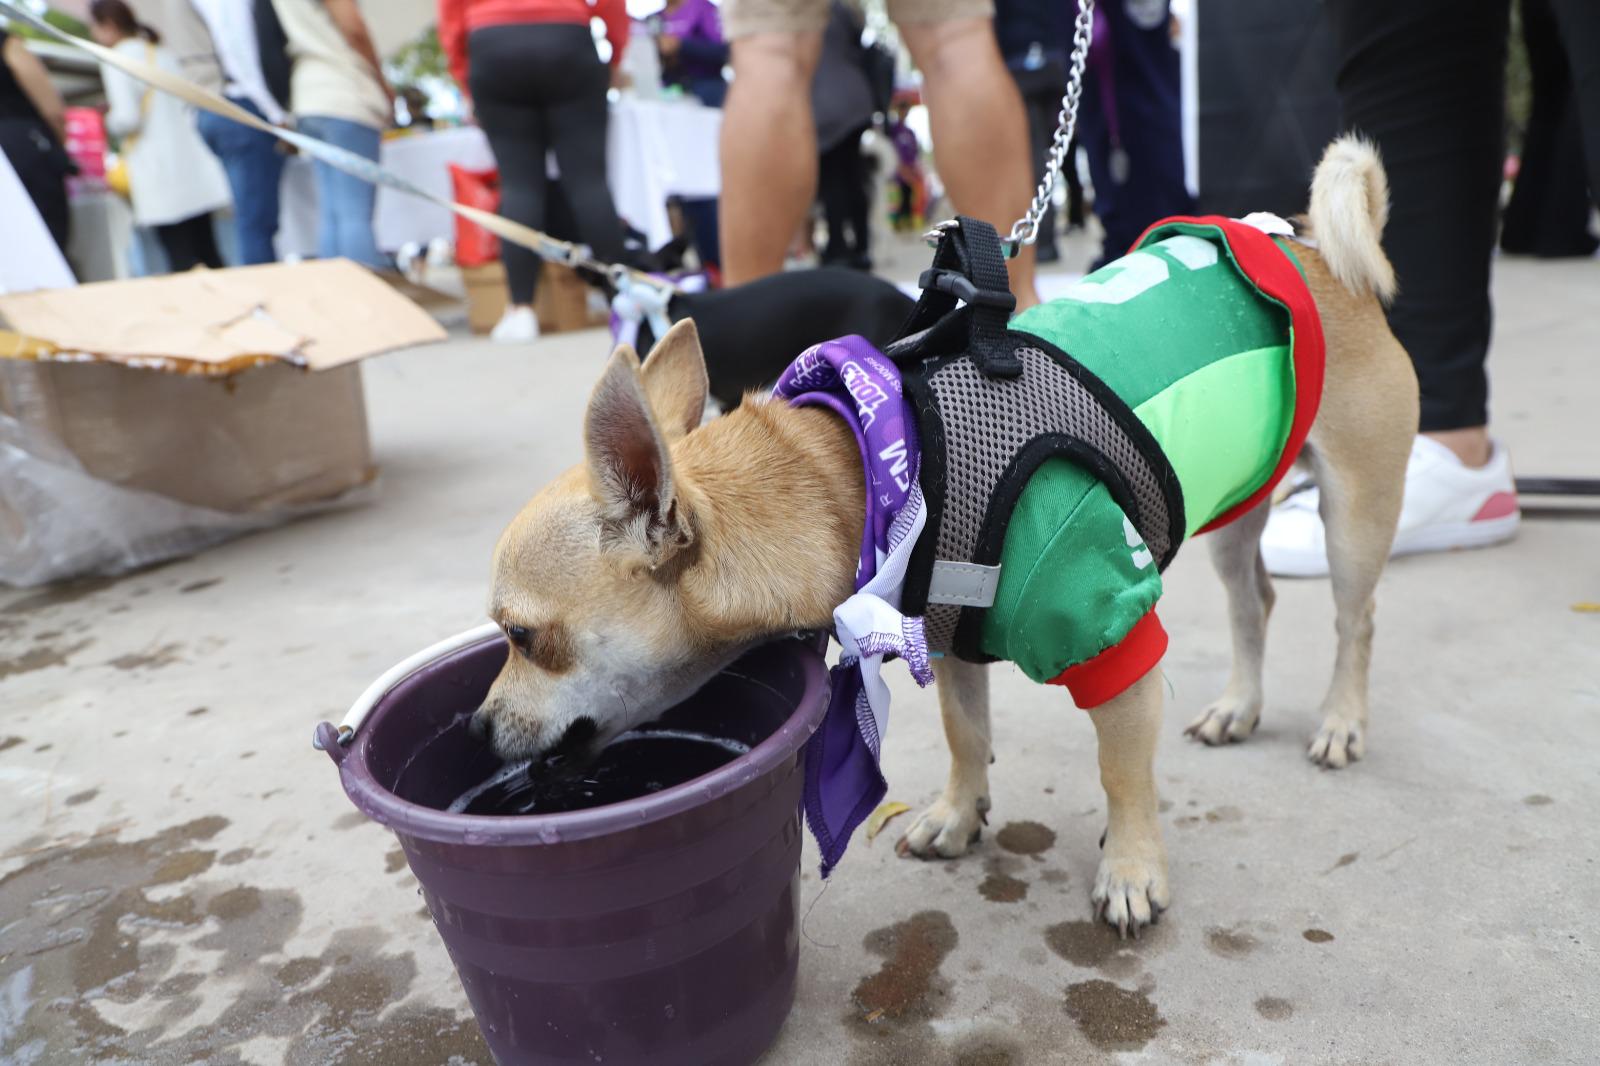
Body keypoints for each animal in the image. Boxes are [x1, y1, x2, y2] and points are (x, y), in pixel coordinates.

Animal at [480, 140, 1420, 928]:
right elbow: (968, 733)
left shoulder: (1114, 642)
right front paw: (961, 815)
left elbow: (1122, 770)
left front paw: (1131, 867)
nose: (477, 730)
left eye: (524, 636)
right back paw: (1239, 706)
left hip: (1354, 515)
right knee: (1252, 601)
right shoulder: (951, 635)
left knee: (1358, 617)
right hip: (1233, 505)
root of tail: (1312, 250)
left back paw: (1340, 720)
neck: (872, 476)